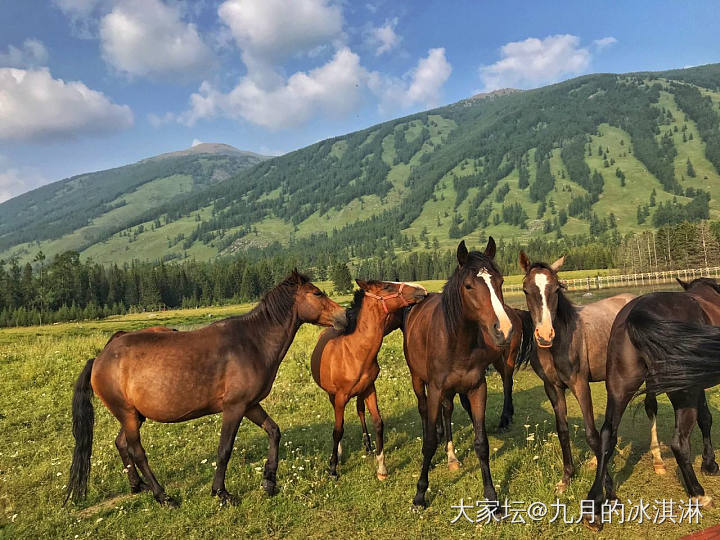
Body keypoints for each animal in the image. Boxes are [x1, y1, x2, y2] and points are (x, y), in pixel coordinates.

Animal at [66, 272, 348, 508]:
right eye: (317, 294)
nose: (344, 316)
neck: (252, 342)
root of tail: (100, 358)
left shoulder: (250, 405)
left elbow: (274, 431)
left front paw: (269, 480)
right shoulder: (234, 408)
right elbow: (224, 450)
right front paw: (221, 492)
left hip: (134, 416)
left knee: (122, 444)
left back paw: (139, 486)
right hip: (128, 415)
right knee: (137, 452)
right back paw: (162, 495)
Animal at [310, 280, 428, 478]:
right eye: (387, 287)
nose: (422, 290)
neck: (354, 351)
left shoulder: (369, 389)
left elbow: (378, 423)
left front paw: (381, 468)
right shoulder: (340, 396)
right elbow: (338, 430)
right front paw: (333, 468)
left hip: (360, 393)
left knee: (360, 411)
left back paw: (367, 446)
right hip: (332, 395)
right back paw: (339, 452)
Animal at [404, 238, 528, 508]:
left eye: (500, 281)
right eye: (469, 286)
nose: (504, 330)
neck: (457, 342)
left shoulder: (476, 387)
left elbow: (481, 443)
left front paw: (492, 497)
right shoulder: (436, 388)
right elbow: (429, 441)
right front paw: (420, 493)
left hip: (502, 363)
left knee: (505, 383)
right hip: (419, 380)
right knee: (428, 410)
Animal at [516, 251, 636, 492]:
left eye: (556, 289)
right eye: (526, 290)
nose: (545, 335)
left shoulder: (580, 385)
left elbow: (592, 435)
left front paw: (607, 486)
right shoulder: (553, 388)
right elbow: (562, 430)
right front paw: (567, 477)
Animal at [584, 278, 720, 528]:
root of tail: (637, 313)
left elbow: (705, 418)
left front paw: (709, 463)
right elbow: (705, 420)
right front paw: (709, 464)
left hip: (620, 389)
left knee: (607, 435)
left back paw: (596, 505)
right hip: (683, 394)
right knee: (679, 442)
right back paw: (699, 494)